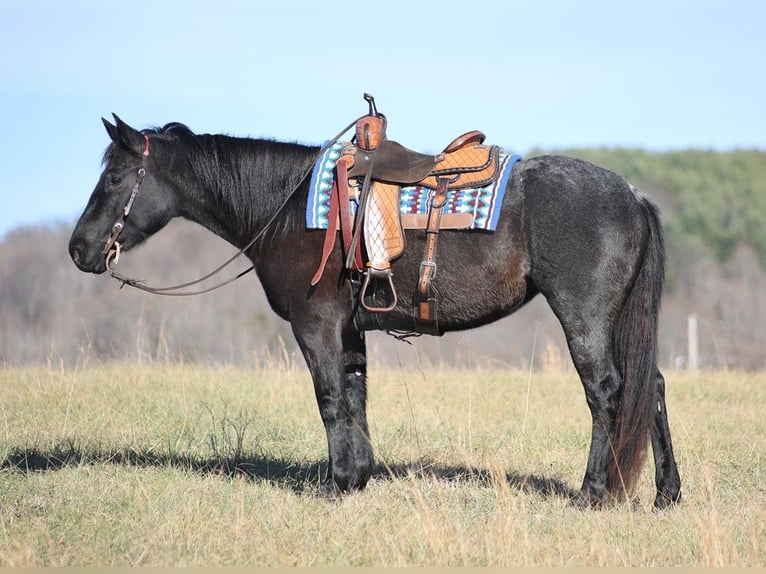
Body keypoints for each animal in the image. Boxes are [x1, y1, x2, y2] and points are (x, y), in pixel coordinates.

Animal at [69, 115, 684, 510]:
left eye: (116, 176)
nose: (79, 249)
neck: (287, 209)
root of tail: (632, 194)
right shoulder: (350, 329)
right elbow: (355, 395)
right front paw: (357, 477)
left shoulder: (316, 326)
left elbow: (329, 398)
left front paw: (336, 484)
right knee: (651, 386)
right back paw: (666, 493)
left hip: (584, 319)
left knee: (606, 391)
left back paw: (592, 493)